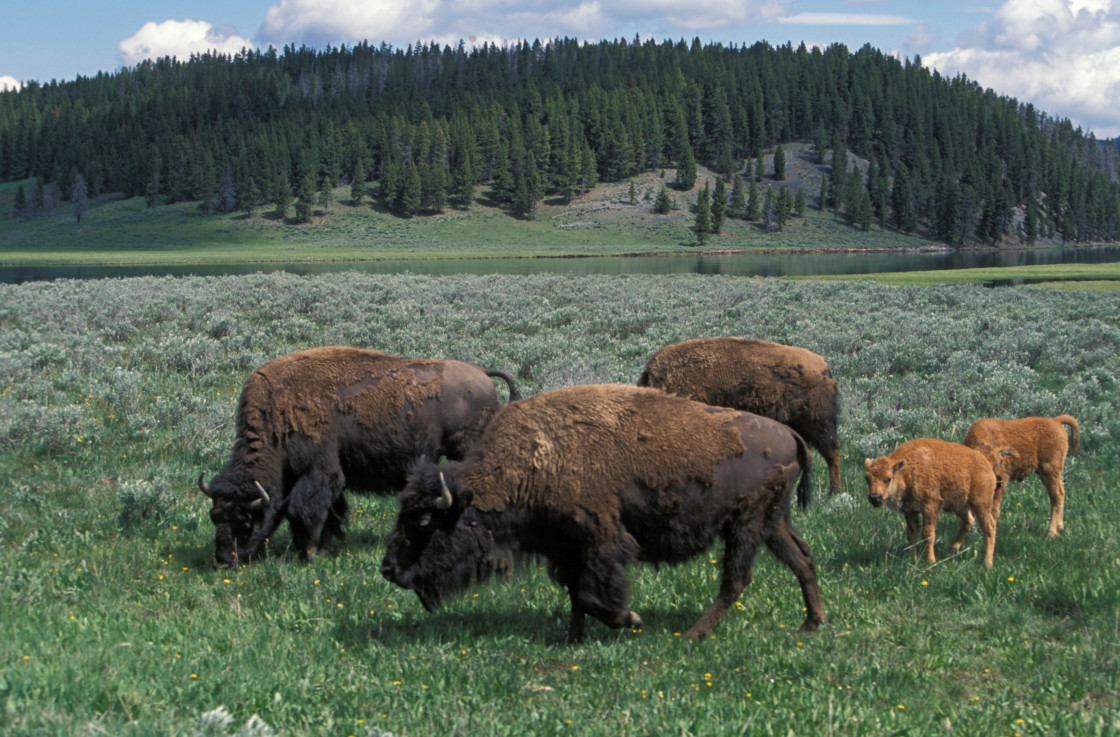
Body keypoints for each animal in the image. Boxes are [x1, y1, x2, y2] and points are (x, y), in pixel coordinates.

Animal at [198, 347, 519, 564]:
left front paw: (308, 553)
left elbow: (303, 511)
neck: (277, 414)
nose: (225, 560)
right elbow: (331, 514)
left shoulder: (320, 471)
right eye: (215, 517)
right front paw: (324, 549)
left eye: (246, 521)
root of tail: (483, 374)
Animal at [380, 380, 828, 640]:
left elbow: (591, 593)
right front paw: (574, 638)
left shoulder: (601, 539)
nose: (387, 568)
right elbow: (576, 595)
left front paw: (630, 618)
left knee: (737, 579)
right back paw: (811, 623)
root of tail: (790, 434)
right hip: (771, 522)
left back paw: (692, 635)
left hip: (745, 524)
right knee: (801, 558)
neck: (534, 458)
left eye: (424, 520)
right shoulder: (566, 549)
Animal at [860, 436, 1012, 568]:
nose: (875, 497)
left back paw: (987, 564)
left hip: (980, 504)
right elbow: (911, 534)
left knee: (989, 528)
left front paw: (930, 561)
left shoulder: (930, 507)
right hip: (959, 506)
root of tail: (987, 464)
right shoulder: (910, 511)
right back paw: (952, 552)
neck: (906, 471)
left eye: (888, 478)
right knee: (969, 520)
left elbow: (927, 534)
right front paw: (912, 559)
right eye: (867, 478)